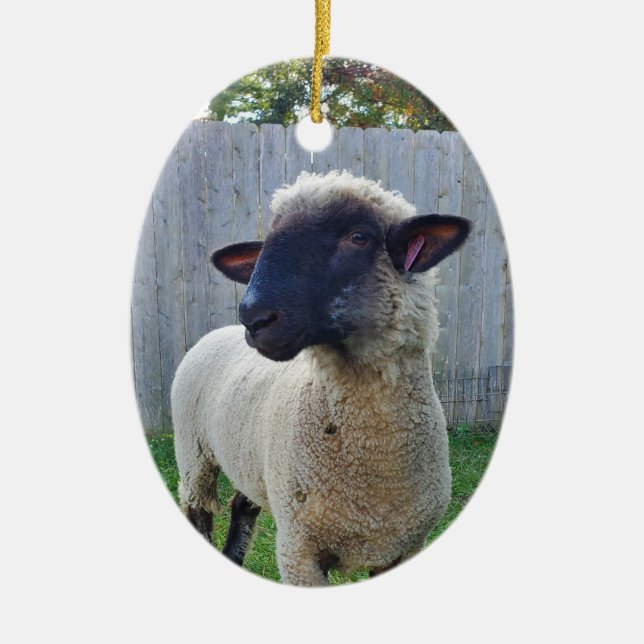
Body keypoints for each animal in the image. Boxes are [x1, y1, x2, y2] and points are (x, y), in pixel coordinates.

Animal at [171, 170, 471, 585]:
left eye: (359, 236)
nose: (253, 317)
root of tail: (218, 332)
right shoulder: (298, 552)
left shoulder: (402, 548)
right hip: (193, 453)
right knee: (198, 509)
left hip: (253, 460)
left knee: (242, 506)